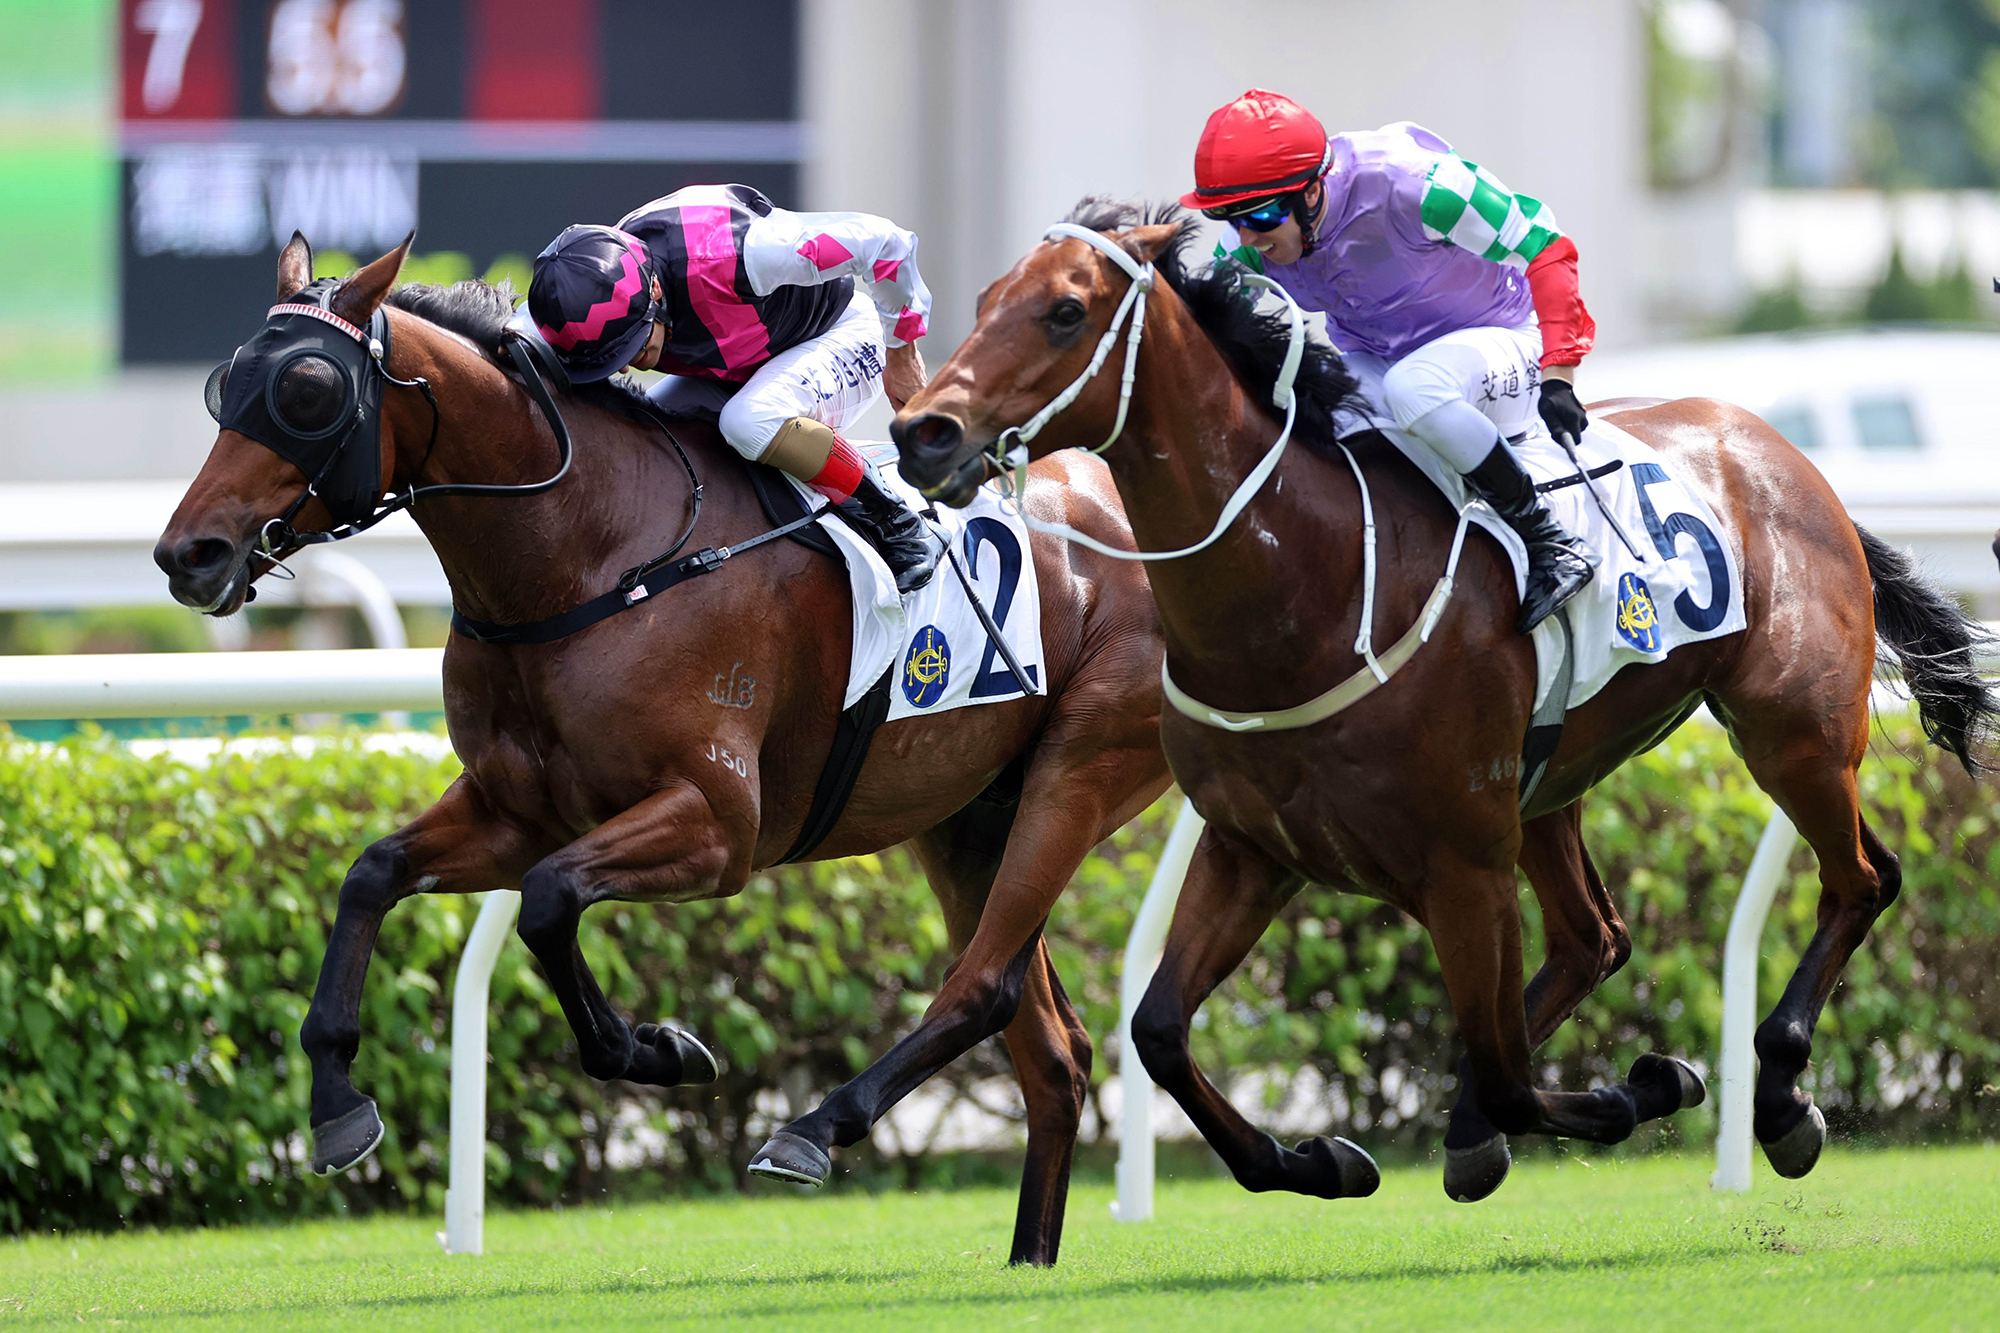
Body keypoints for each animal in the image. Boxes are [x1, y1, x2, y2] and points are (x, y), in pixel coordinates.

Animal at [156, 233, 1168, 1264]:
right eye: (228, 382)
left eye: (308, 390)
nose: (188, 554)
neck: (587, 555)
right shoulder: (514, 811)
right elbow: (372, 873)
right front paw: (336, 1106)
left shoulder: (719, 826)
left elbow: (549, 901)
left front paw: (661, 1048)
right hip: (965, 820)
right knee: (1051, 1049)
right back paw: (1027, 1258)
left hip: (1078, 775)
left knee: (987, 988)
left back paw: (811, 1130)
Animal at [900, 202, 1992, 1200]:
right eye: (982, 301)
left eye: (1064, 312)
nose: (921, 432)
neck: (1312, 579)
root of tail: (1786, 456)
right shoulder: (1252, 844)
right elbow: (1160, 1030)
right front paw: (1319, 1160)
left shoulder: (1462, 863)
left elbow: (1512, 1076)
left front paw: (1646, 1082)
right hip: (1552, 783)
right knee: (1595, 937)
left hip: (1790, 731)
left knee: (1861, 879)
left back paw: (1778, 1096)